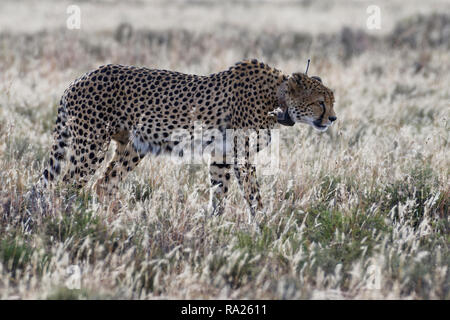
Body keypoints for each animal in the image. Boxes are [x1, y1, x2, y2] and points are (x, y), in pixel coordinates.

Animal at [40, 58, 336, 216]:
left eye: (331, 101)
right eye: (320, 102)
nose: (332, 118)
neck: (276, 98)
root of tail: (76, 80)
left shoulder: (222, 153)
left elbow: (219, 191)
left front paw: (216, 224)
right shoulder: (242, 156)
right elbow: (253, 194)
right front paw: (262, 224)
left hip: (133, 146)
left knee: (104, 183)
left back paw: (116, 218)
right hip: (91, 145)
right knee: (67, 185)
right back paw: (71, 219)